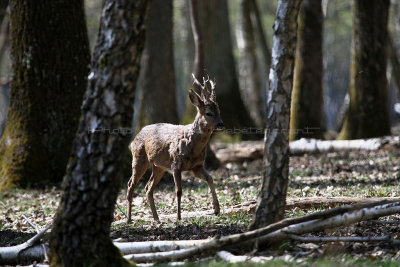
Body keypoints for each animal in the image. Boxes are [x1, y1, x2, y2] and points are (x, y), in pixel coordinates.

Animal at [126, 74, 223, 223]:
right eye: (208, 113)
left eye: (218, 110)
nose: (220, 124)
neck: (192, 147)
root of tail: (135, 137)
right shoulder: (175, 164)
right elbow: (178, 191)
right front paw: (178, 217)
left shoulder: (197, 166)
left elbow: (210, 179)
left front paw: (217, 209)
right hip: (139, 158)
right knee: (131, 184)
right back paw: (129, 219)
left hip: (158, 166)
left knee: (148, 187)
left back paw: (156, 219)